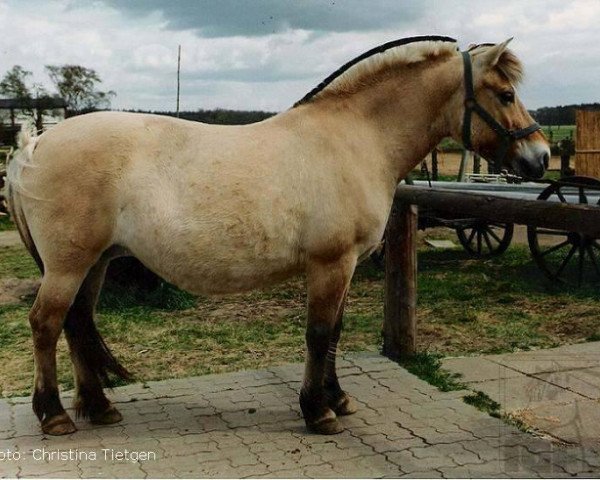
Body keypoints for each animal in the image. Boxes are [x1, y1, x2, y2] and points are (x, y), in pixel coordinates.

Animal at [5, 36, 548, 436]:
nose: (541, 157)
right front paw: (318, 411)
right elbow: (319, 333)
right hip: (69, 265)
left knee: (77, 322)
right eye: (506, 95)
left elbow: (335, 332)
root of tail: (36, 144)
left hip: (95, 262)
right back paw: (54, 415)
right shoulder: (331, 263)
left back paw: (98, 408)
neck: (355, 138)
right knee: (46, 324)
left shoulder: (346, 264)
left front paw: (337, 398)